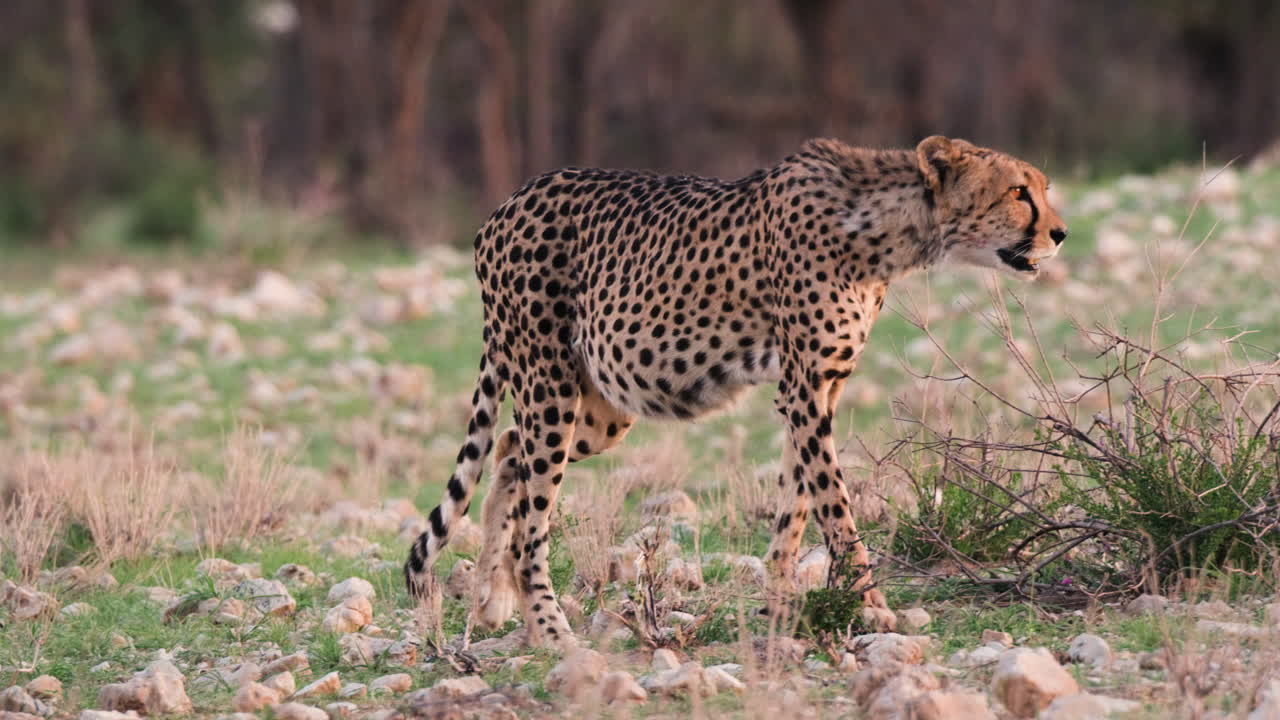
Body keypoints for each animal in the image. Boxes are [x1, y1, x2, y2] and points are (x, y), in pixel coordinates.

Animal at [403, 134, 1067, 647]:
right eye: (1018, 191)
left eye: (1041, 186)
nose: (1060, 233)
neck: (886, 230)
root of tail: (509, 200)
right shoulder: (804, 385)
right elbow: (835, 503)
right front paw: (872, 607)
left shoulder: (820, 386)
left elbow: (797, 501)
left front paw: (780, 601)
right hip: (550, 380)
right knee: (532, 514)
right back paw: (548, 629)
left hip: (601, 402)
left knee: (508, 450)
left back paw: (493, 602)